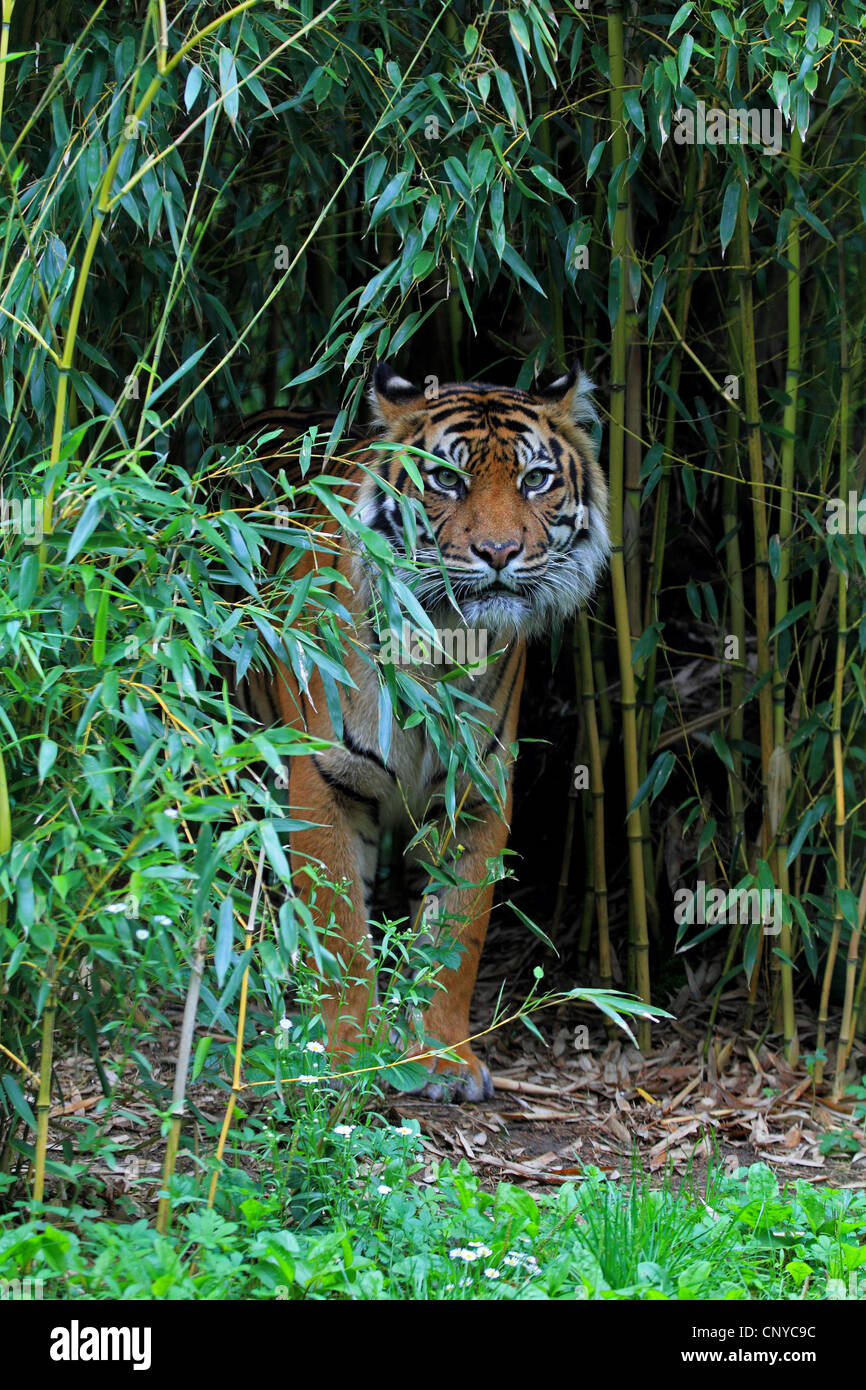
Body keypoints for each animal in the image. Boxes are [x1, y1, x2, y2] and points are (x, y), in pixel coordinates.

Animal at [230, 364, 608, 1100]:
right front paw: (347, 1055)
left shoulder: (477, 794)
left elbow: (457, 935)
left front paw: (442, 1057)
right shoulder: (323, 784)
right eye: (446, 481)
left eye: (535, 480)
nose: (499, 553)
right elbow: (340, 930)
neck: (441, 646)